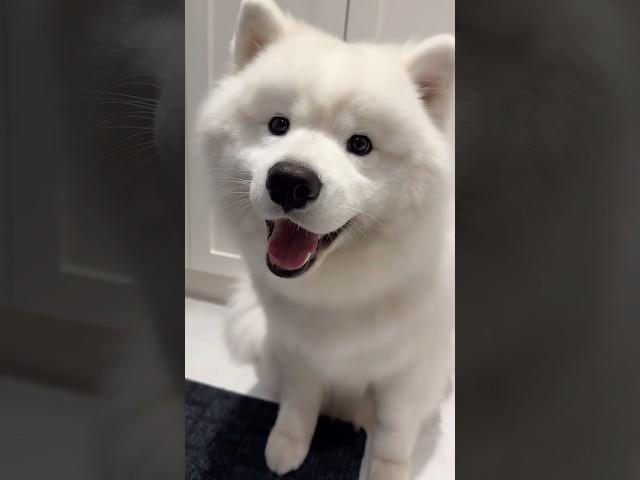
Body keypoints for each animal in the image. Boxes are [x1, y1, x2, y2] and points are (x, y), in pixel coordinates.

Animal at [198, 1, 452, 478]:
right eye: (278, 124)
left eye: (360, 144)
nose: (290, 181)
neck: (339, 290)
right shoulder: (300, 352)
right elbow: (298, 406)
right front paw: (286, 446)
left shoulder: (409, 371)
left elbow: (394, 429)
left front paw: (388, 469)